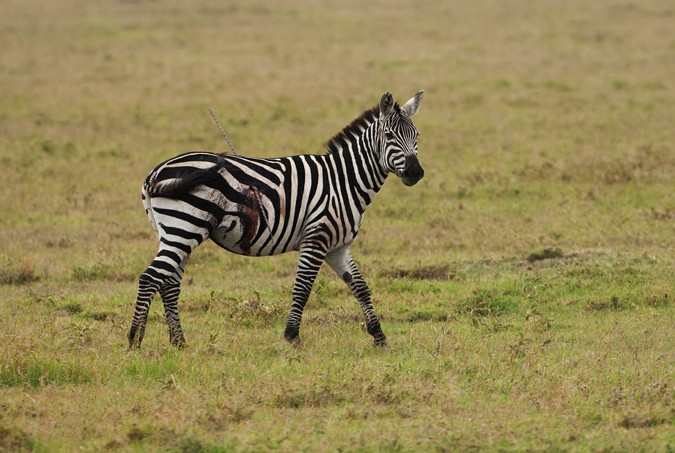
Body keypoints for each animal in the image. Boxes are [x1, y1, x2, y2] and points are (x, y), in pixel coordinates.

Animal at [129, 90, 426, 348]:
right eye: (389, 135)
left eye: (417, 135)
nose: (416, 173)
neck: (344, 181)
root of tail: (155, 172)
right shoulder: (316, 239)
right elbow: (303, 288)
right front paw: (292, 337)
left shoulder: (337, 247)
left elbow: (360, 287)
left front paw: (379, 336)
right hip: (184, 228)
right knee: (150, 278)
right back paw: (135, 341)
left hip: (175, 232)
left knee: (169, 283)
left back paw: (179, 343)